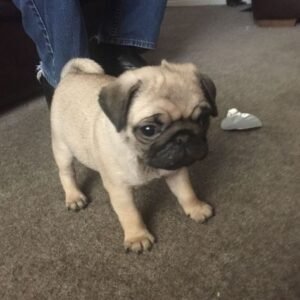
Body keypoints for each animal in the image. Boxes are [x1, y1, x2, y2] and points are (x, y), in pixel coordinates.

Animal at [50, 57, 217, 252]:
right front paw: (137, 236)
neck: (143, 160)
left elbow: (186, 191)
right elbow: (130, 214)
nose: (183, 137)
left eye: (203, 120)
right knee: (66, 173)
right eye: (148, 130)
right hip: (62, 149)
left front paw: (196, 207)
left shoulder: (176, 171)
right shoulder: (120, 190)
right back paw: (74, 197)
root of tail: (73, 74)